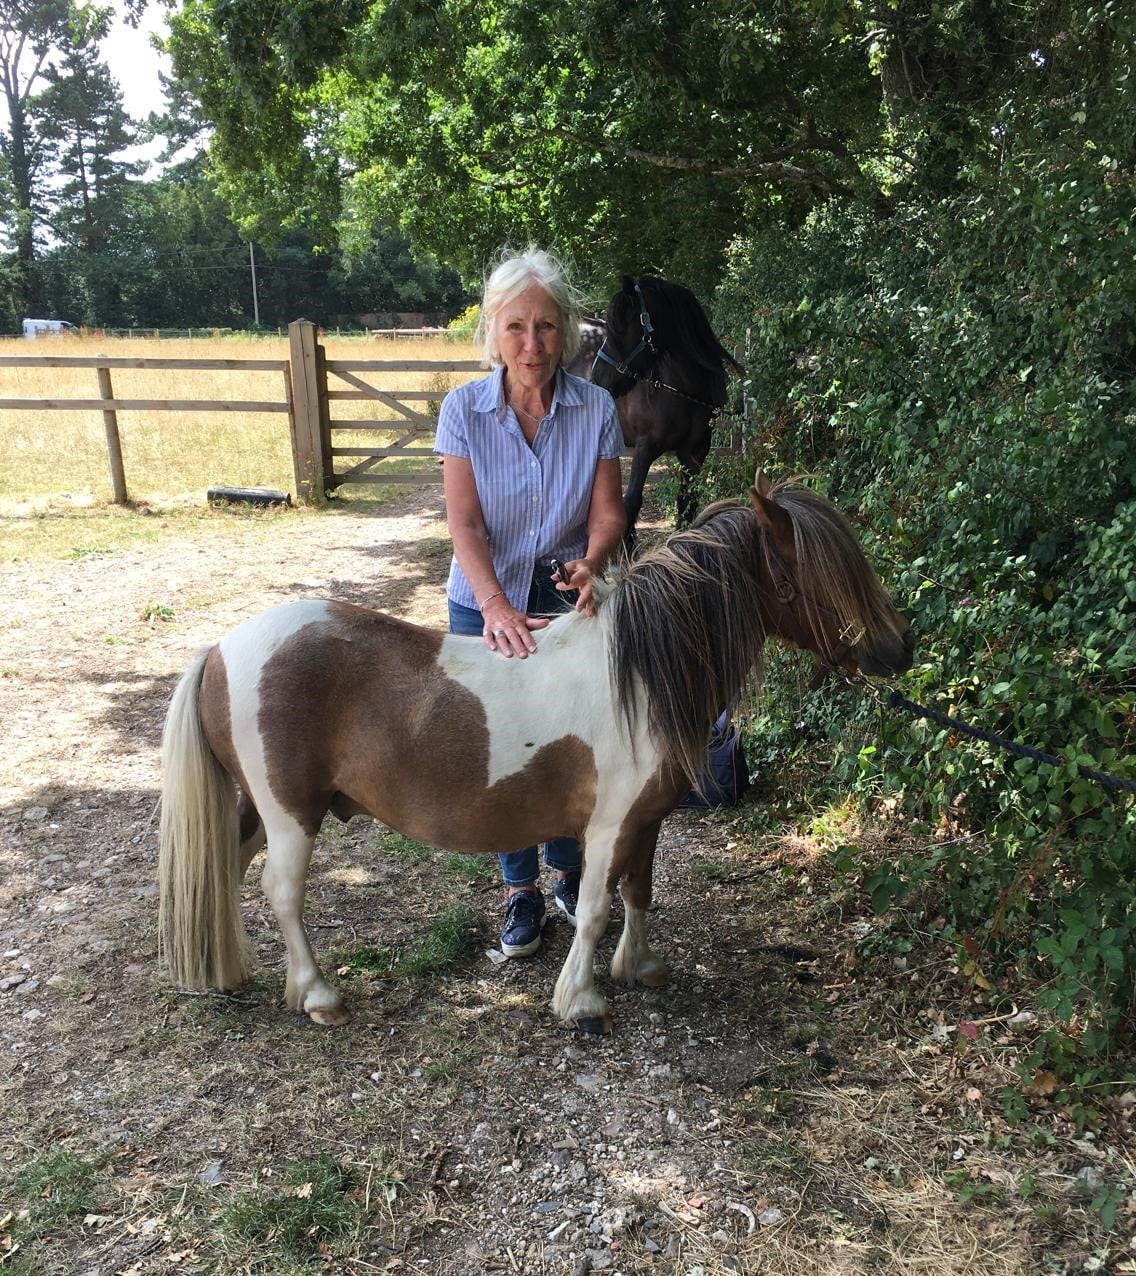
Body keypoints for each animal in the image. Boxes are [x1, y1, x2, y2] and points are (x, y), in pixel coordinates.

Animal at [158, 474, 914, 1034]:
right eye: (823, 574)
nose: (898, 650)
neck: (637, 672)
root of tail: (220, 649)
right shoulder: (608, 826)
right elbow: (598, 907)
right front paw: (581, 1000)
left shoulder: (646, 821)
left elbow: (638, 893)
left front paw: (640, 967)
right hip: (291, 816)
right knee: (282, 893)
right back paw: (318, 996)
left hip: (261, 810)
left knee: (226, 866)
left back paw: (226, 971)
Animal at [589, 275, 743, 535]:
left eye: (619, 326)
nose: (596, 377)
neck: (681, 393)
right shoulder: (644, 449)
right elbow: (631, 502)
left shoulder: (694, 454)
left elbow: (687, 504)